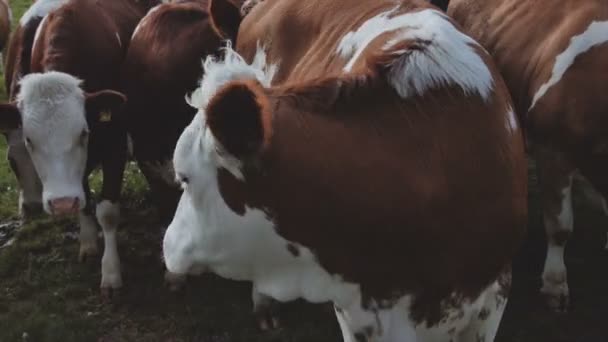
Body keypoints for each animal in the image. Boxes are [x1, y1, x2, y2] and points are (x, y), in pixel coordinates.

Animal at [0, 0, 162, 298]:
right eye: (29, 140)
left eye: (83, 133)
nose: (60, 203)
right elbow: (85, 198)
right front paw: (87, 242)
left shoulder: (114, 142)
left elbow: (107, 211)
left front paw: (111, 273)